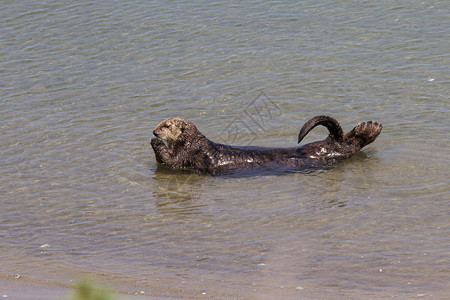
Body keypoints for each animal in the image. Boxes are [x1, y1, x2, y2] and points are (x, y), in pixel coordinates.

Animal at [152, 115, 384, 176]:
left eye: (166, 125)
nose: (155, 131)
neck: (194, 141)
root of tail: (333, 141)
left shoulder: (189, 154)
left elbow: (171, 161)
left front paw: (156, 143)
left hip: (325, 150)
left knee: (350, 146)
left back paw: (370, 128)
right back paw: (370, 128)